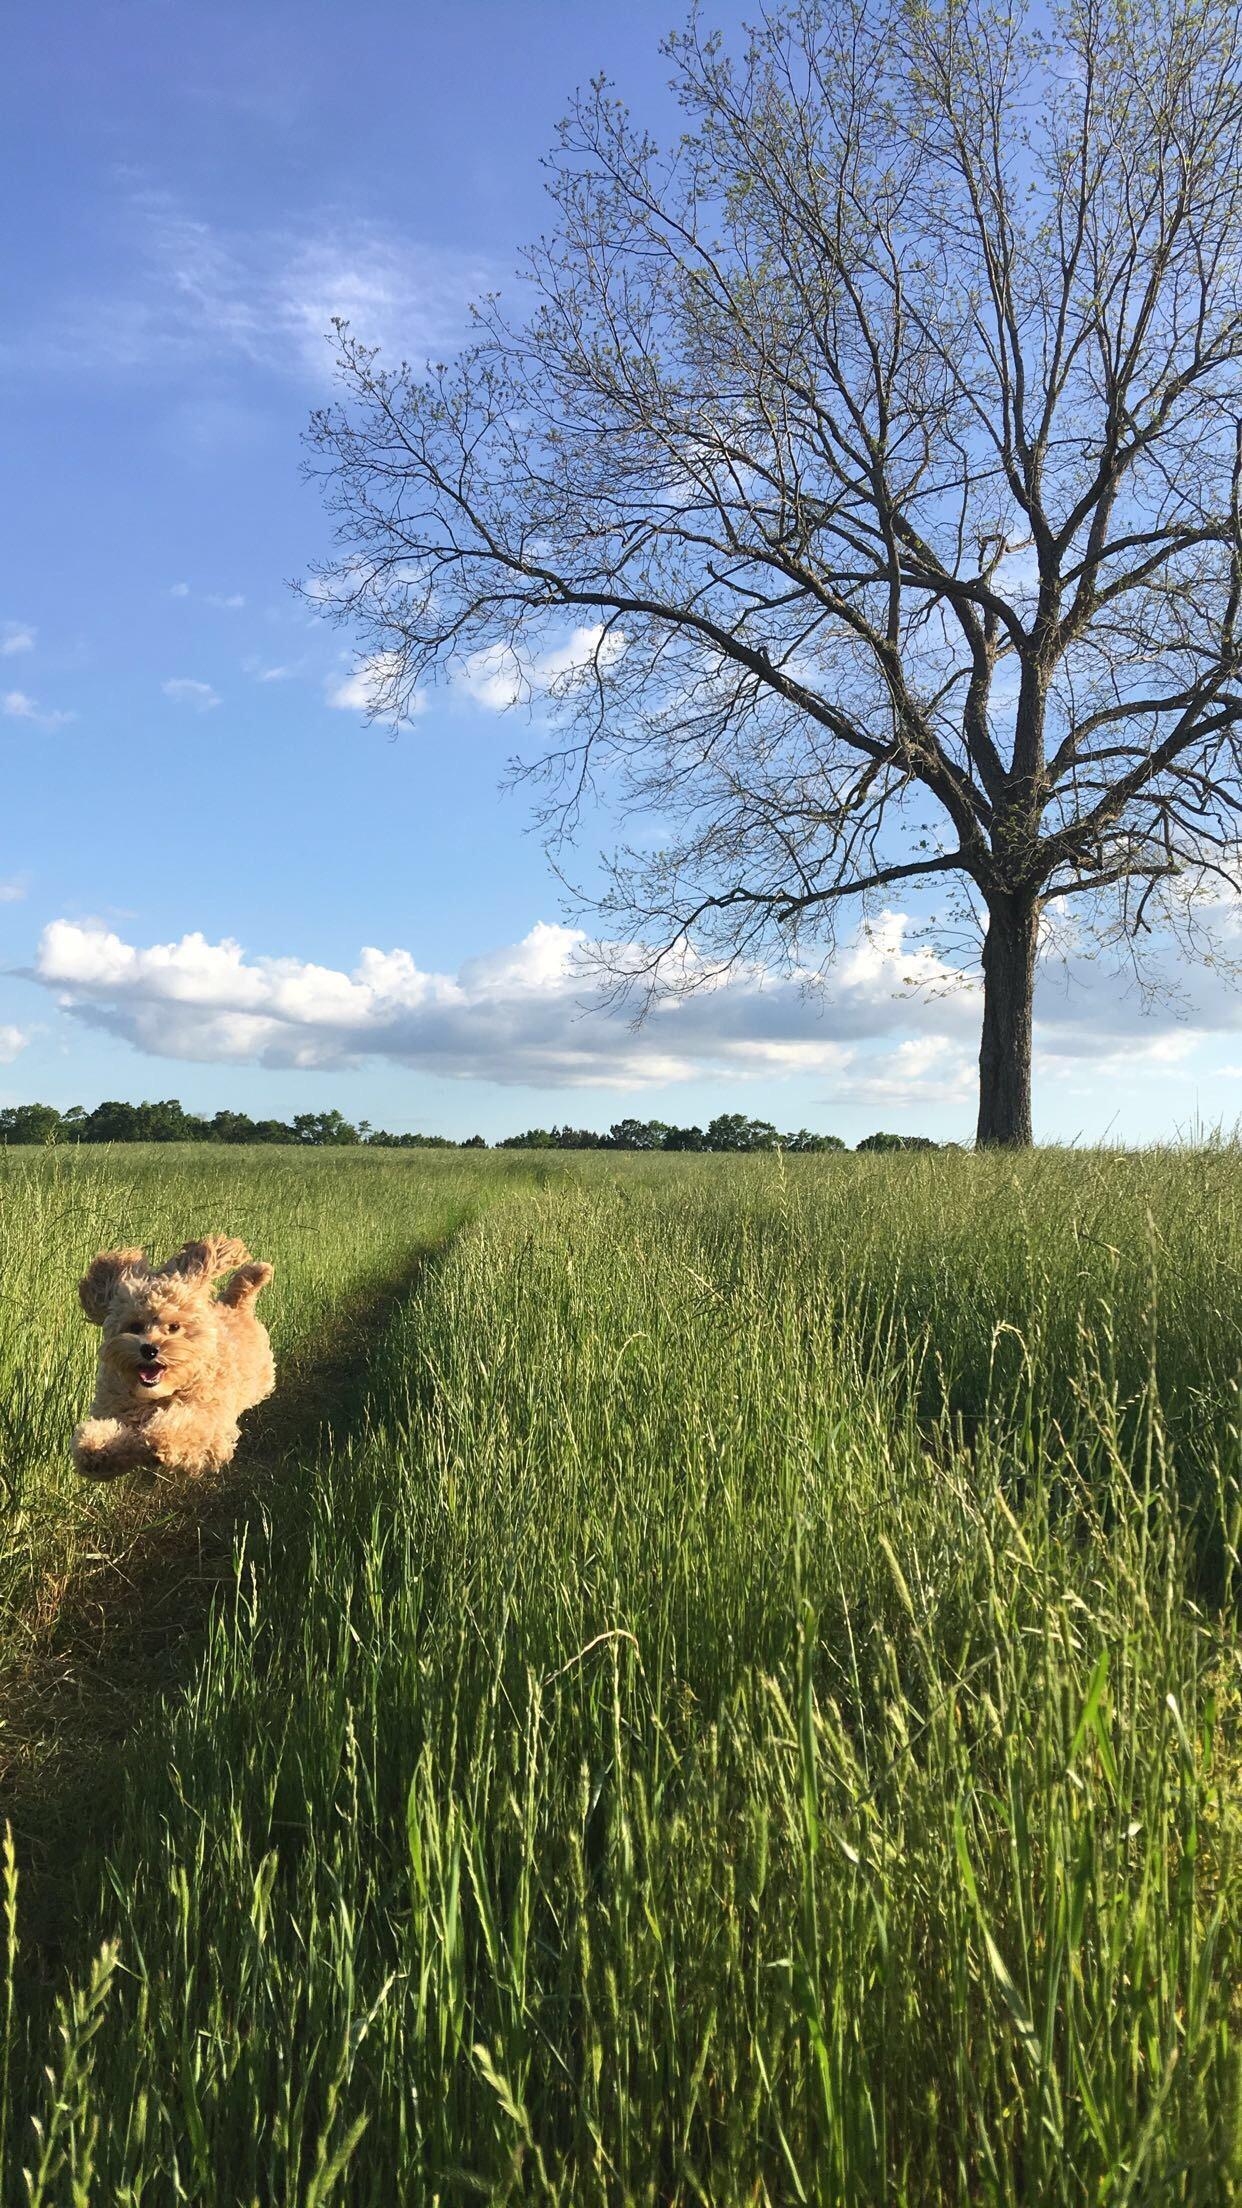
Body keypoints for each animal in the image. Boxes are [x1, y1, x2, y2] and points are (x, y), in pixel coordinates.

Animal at [74, 1236, 275, 1474]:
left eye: (174, 1326)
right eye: (134, 1326)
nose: (149, 1349)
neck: (156, 1396)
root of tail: (235, 1304)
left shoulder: (212, 1427)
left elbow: (186, 1427)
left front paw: (159, 1439)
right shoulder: (114, 1407)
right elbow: (98, 1436)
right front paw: (95, 1448)